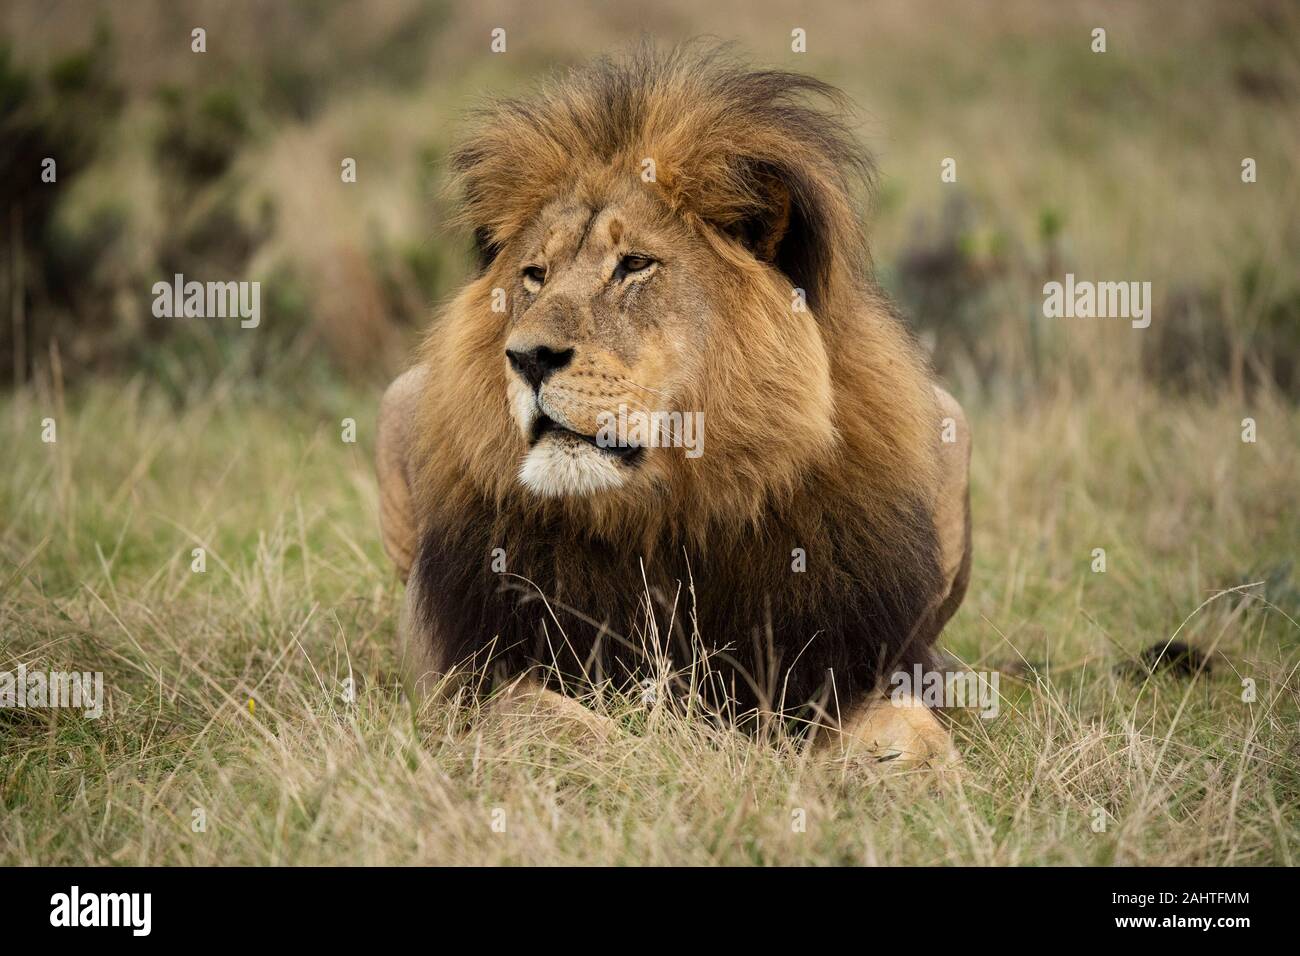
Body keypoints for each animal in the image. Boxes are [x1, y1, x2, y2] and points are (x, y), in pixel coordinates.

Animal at [371, 46, 972, 770]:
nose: (526, 357)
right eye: (534, 275)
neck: (666, 518)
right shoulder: (461, 678)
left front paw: (914, 773)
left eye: (634, 265)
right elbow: (549, 718)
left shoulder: (846, 658)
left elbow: (912, 730)